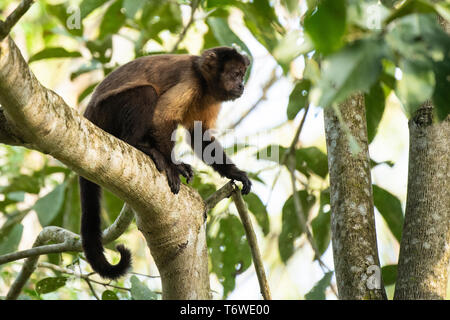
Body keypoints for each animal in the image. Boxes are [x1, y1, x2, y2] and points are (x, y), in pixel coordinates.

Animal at [78, 46, 251, 278]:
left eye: (242, 75)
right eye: (235, 74)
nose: (241, 85)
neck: (204, 82)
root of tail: (88, 116)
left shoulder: (210, 98)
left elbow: (200, 137)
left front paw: (235, 174)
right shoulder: (190, 81)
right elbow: (163, 117)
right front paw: (172, 166)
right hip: (105, 113)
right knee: (146, 93)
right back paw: (140, 146)